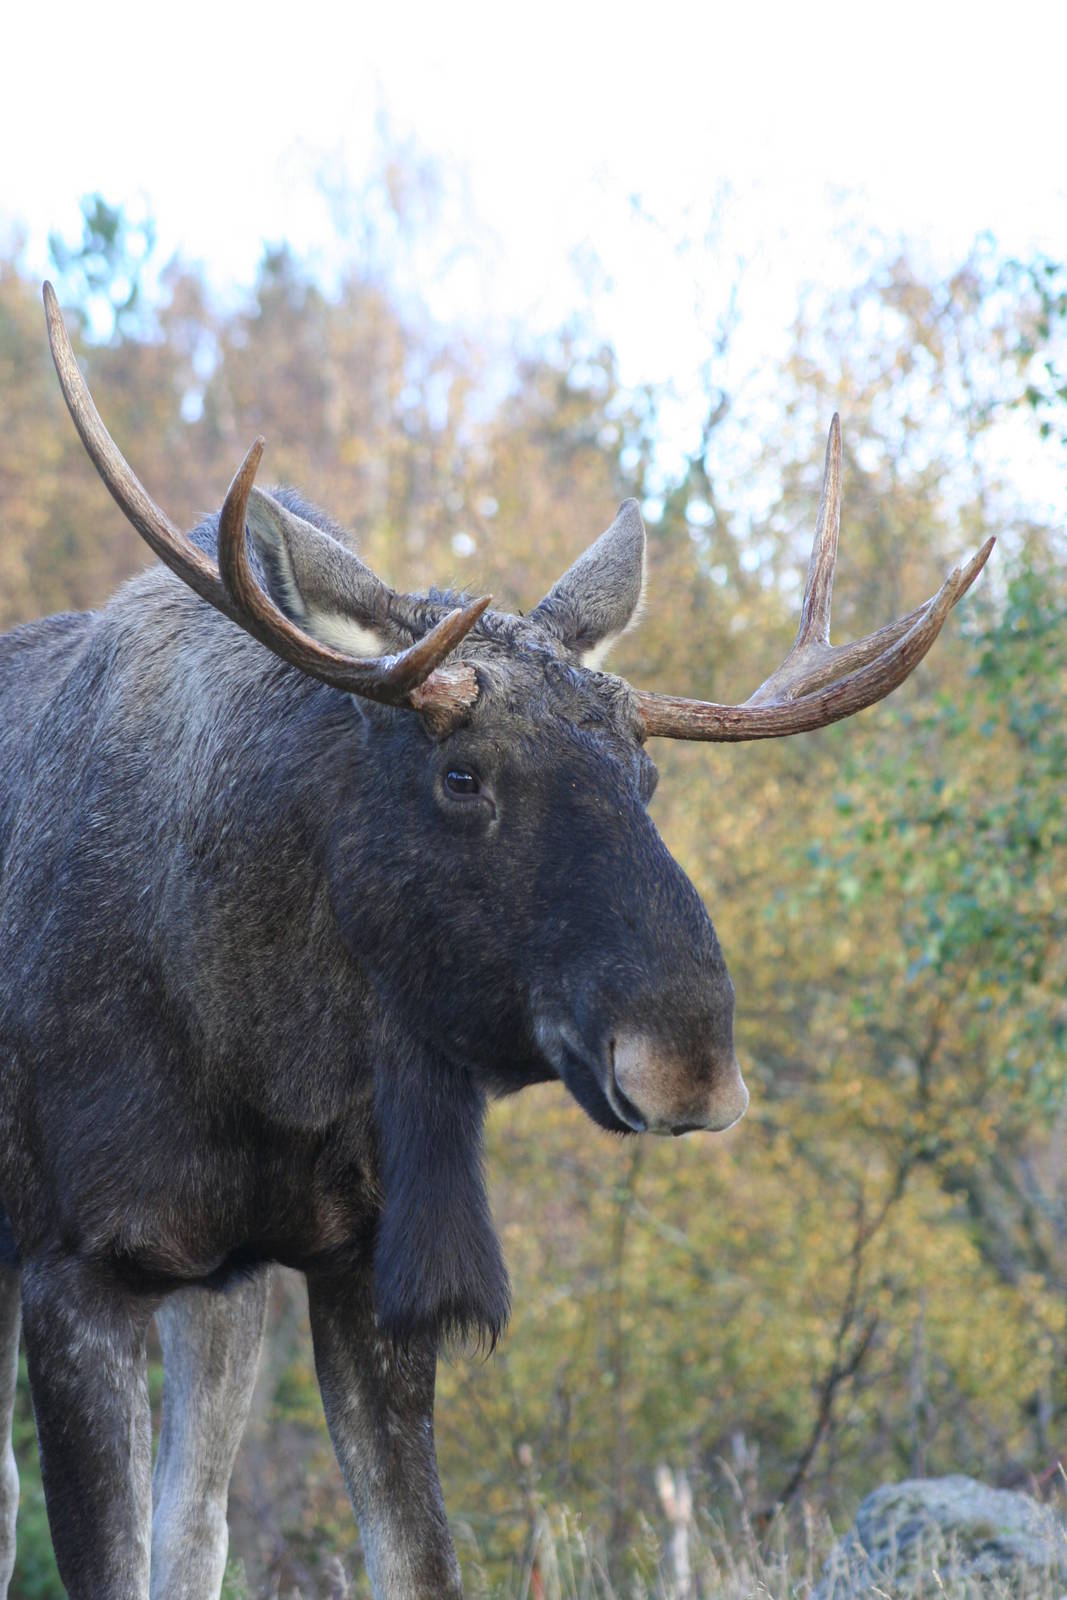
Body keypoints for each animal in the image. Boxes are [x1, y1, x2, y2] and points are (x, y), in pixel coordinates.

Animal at [0, 284, 992, 1598]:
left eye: (644, 774)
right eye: (458, 774)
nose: (687, 1059)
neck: (264, 1048)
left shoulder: (344, 1260)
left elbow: (410, 1554)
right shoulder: (76, 1265)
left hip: (220, 1284)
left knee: (197, 1521)